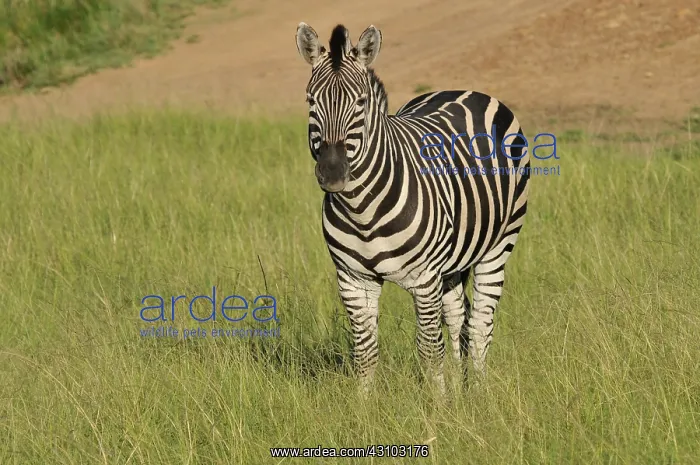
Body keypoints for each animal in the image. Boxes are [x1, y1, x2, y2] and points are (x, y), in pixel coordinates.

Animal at [295, 22, 530, 394]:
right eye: (311, 100)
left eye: (361, 102)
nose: (332, 174)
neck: (362, 211)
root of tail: (465, 90)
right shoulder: (353, 279)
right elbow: (365, 351)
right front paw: (364, 407)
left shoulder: (424, 279)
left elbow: (429, 351)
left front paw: (438, 406)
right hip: (451, 263)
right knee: (458, 317)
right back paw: (461, 388)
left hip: (498, 245)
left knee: (480, 325)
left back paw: (479, 394)